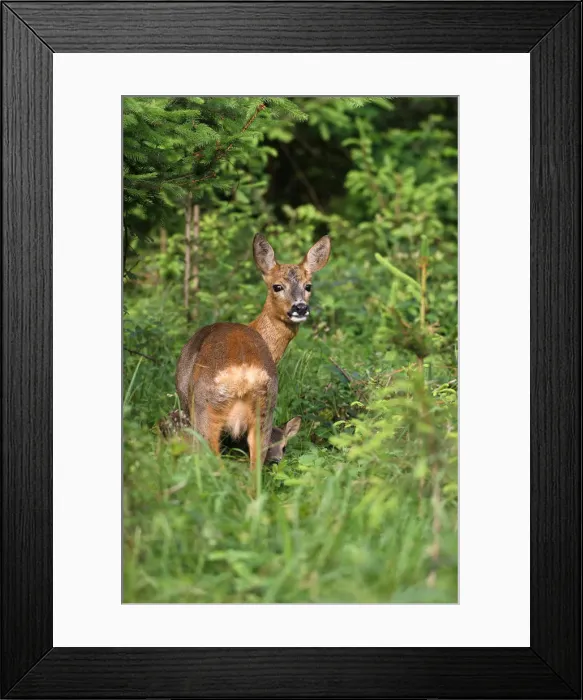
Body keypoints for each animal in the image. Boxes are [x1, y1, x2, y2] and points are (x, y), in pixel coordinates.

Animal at [175, 233, 331, 468]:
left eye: (308, 286)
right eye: (277, 286)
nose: (300, 308)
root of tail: (242, 375)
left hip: (204, 410)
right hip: (264, 411)